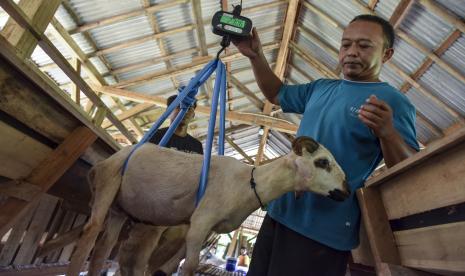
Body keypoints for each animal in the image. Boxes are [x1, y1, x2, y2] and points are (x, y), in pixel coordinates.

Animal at [67, 136, 346, 276]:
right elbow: (189, 267)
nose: (346, 190)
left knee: (104, 250)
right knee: (90, 233)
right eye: (322, 162)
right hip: (108, 185)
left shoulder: (205, 230)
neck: (248, 184)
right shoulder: (201, 221)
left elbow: (173, 266)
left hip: (120, 209)